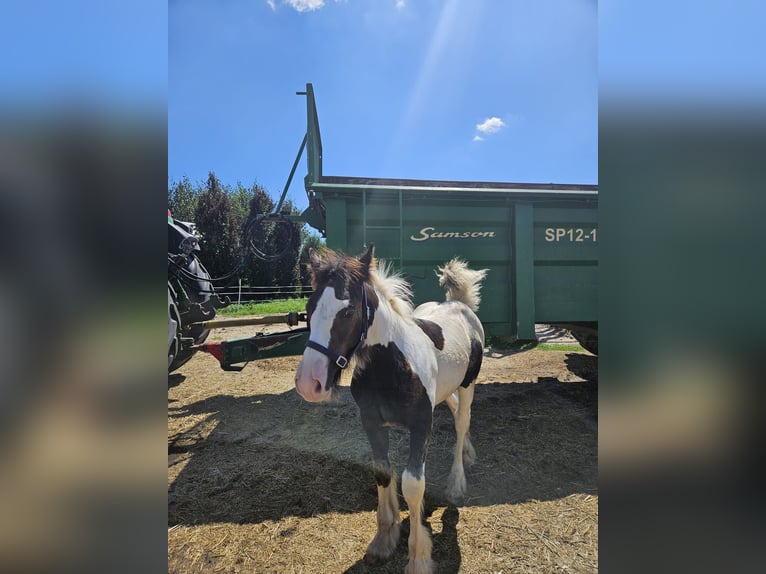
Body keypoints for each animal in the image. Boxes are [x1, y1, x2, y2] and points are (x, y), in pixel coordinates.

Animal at [294, 245, 486, 572]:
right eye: (308, 309)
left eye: (348, 311)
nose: (309, 383)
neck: (393, 363)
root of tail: (459, 304)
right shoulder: (371, 422)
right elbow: (383, 472)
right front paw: (384, 539)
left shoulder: (422, 424)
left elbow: (413, 485)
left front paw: (418, 557)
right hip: (446, 388)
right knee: (455, 409)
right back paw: (469, 452)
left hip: (468, 383)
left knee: (462, 420)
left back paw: (457, 482)